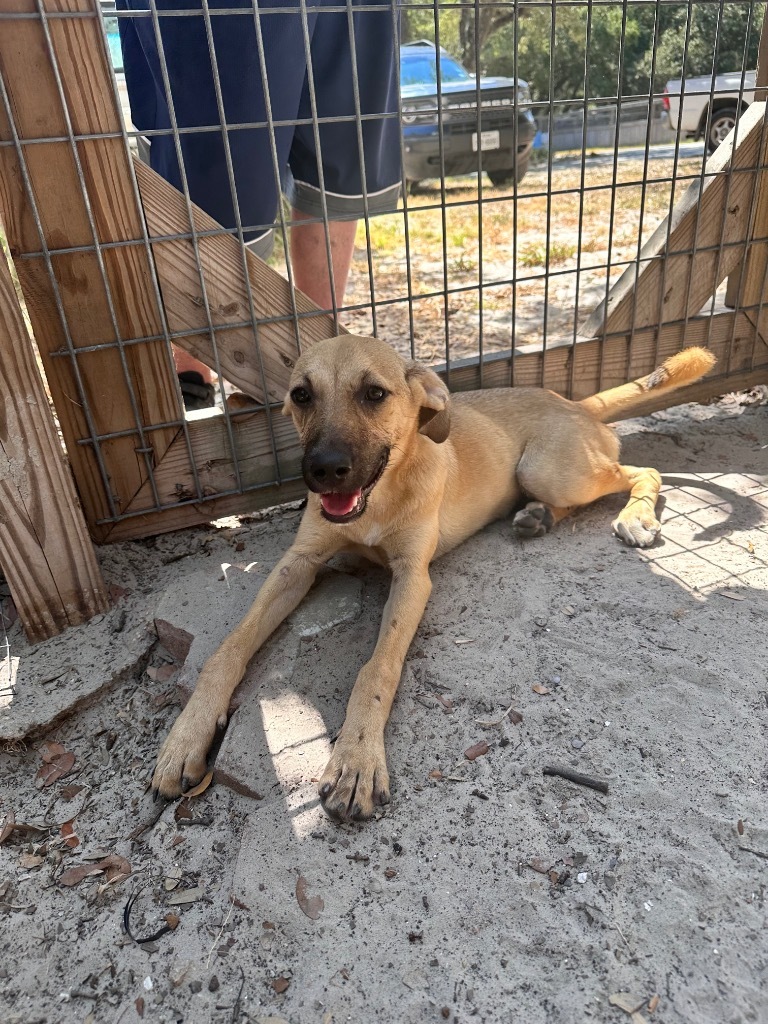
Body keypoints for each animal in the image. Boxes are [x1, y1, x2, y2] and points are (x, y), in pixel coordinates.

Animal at [153, 335, 720, 823]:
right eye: (301, 395)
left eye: (374, 393)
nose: (324, 470)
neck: (380, 496)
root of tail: (576, 403)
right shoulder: (298, 564)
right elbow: (228, 649)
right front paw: (186, 735)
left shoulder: (412, 579)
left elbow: (377, 669)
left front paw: (356, 760)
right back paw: (537, 518)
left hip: (550, 469)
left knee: (643, 472)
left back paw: (636, 516)